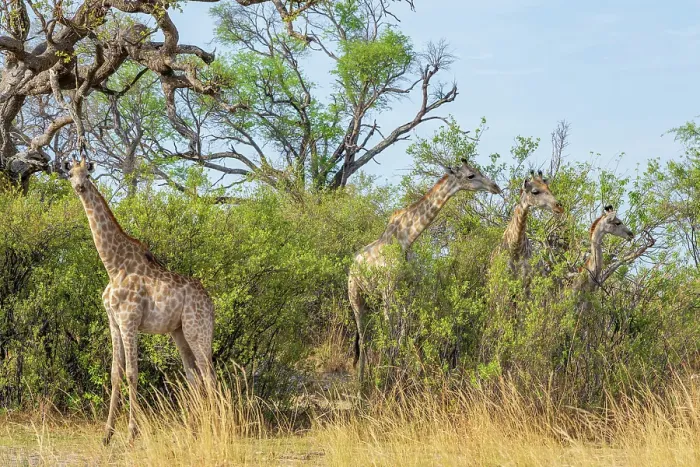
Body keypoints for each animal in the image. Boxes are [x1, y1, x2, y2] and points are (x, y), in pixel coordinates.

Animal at [63, 156, 215, 445]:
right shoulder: (113, 321)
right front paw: (107, 434)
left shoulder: (129, 320)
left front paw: (132, 432)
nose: (79, 187)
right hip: (179, 332)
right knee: (193, 376)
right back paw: (193, 430)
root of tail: (212, 304)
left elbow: (132, 373)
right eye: (70, 174)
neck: (113, 266)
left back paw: (217, 427)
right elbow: (115, 374)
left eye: (87, 174)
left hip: (197, 330)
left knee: (208, 373)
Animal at [348, 159, 501, 384]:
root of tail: (352, 265)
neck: (406, 240)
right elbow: (391, 333)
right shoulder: (389, 290)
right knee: (363, 336)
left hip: (371, 298)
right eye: (470, 175)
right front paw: (387, 375)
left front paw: (401, 372)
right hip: (355, 295)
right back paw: (361, 382)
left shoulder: (409, 289)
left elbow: (404, 334)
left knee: (366, 335)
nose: (495, 187)